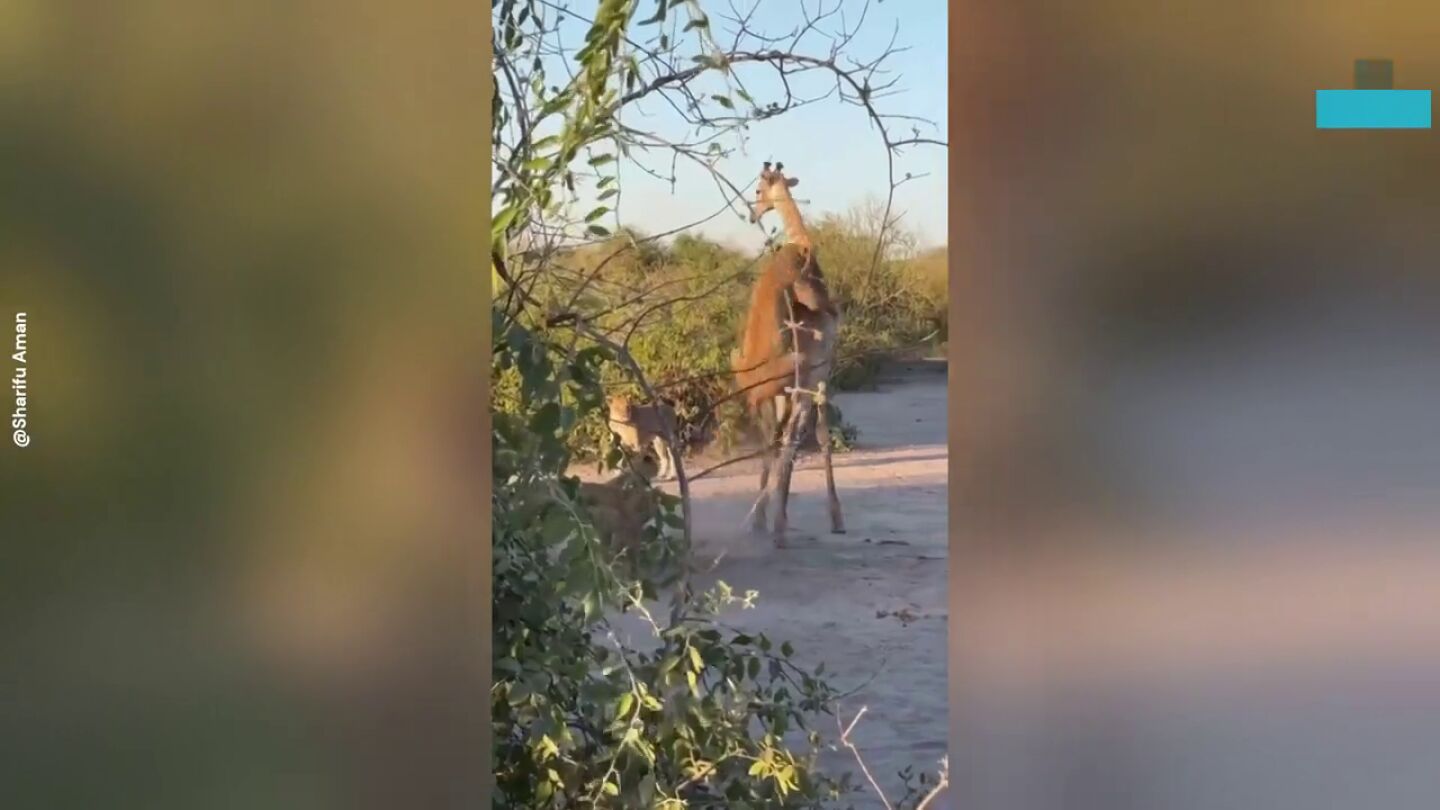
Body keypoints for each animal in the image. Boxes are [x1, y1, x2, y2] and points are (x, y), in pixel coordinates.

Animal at [731, 161, 845, 546]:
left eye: (757, 190)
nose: (753, 214)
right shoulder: (820, 373)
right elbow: (820, 434)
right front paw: (835, 517)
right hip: (795, 383)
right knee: (788, 437)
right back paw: (775, 522)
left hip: (776, 391)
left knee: (773, 437)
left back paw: (762, 518)